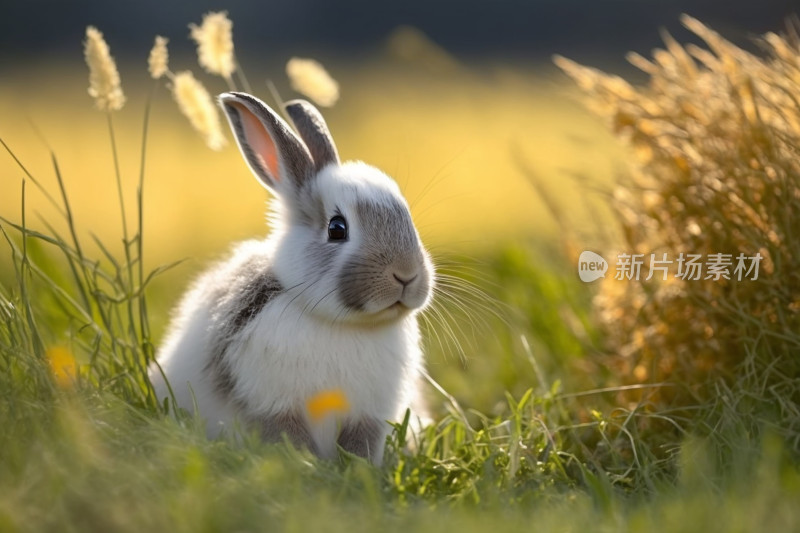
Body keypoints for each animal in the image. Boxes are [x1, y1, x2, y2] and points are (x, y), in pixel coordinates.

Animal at [152, 92, 434, 466]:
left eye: (407, 218)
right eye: (337, 228)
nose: (407, 274)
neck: (341, 324)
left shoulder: (369, 415)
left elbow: (359, 445)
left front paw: (356, 471)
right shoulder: (275, 404)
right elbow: (291, 437)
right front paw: (307, 466)